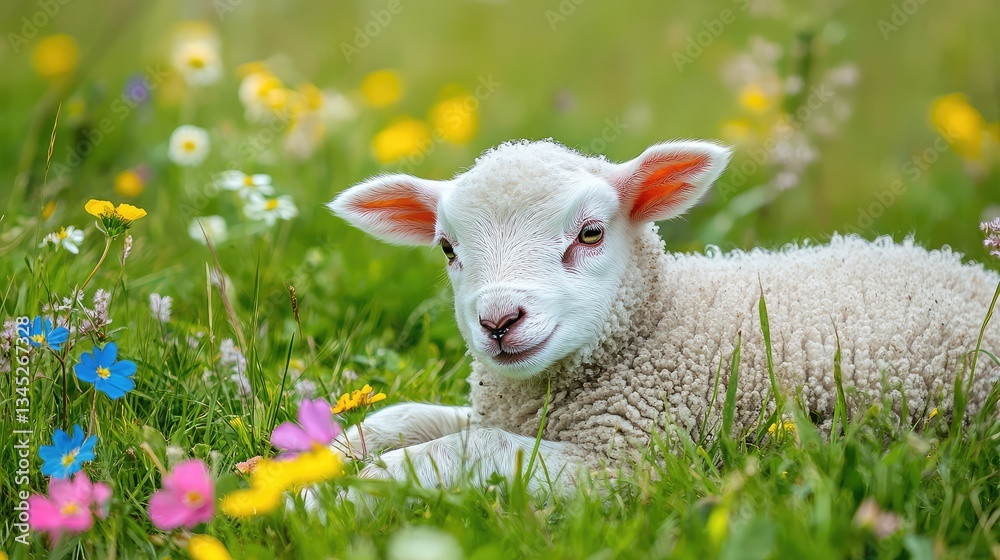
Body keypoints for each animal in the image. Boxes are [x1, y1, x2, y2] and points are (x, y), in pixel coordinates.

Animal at [327, 139, 1000, 492]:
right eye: (447, 249)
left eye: (591, 233)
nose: (499, 321)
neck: (655, 328)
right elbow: (406, 420)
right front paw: (322, 457)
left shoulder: (625, 458)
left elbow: (461, 451)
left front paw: (338, 496)